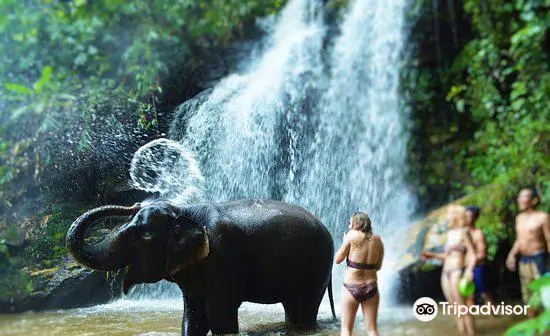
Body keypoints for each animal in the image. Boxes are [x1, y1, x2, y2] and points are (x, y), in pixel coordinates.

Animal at [67, 198, 338, 334]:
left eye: (136, 236)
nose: (134, 203)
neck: (185, 211)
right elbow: (194, 315)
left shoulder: (226, 258)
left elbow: (218, 314)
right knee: (291, 304)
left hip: (317, 265)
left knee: (306, 305)